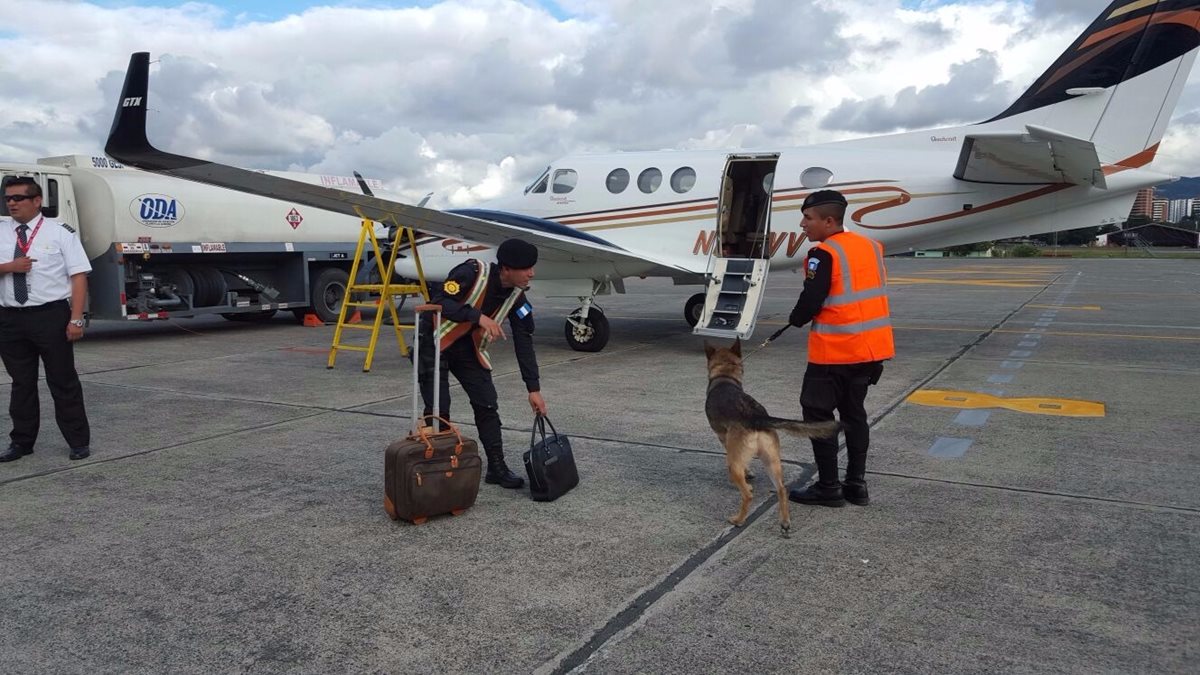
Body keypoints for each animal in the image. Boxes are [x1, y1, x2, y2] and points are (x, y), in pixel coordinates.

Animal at [705, 338, 840, 533]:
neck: (724, 376)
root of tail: (756, 418)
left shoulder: (724, 440)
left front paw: (747, 477)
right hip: (772, 460)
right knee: (782, 489)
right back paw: (784, 522)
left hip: (737, 463)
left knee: (747, 495)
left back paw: (739, 519)